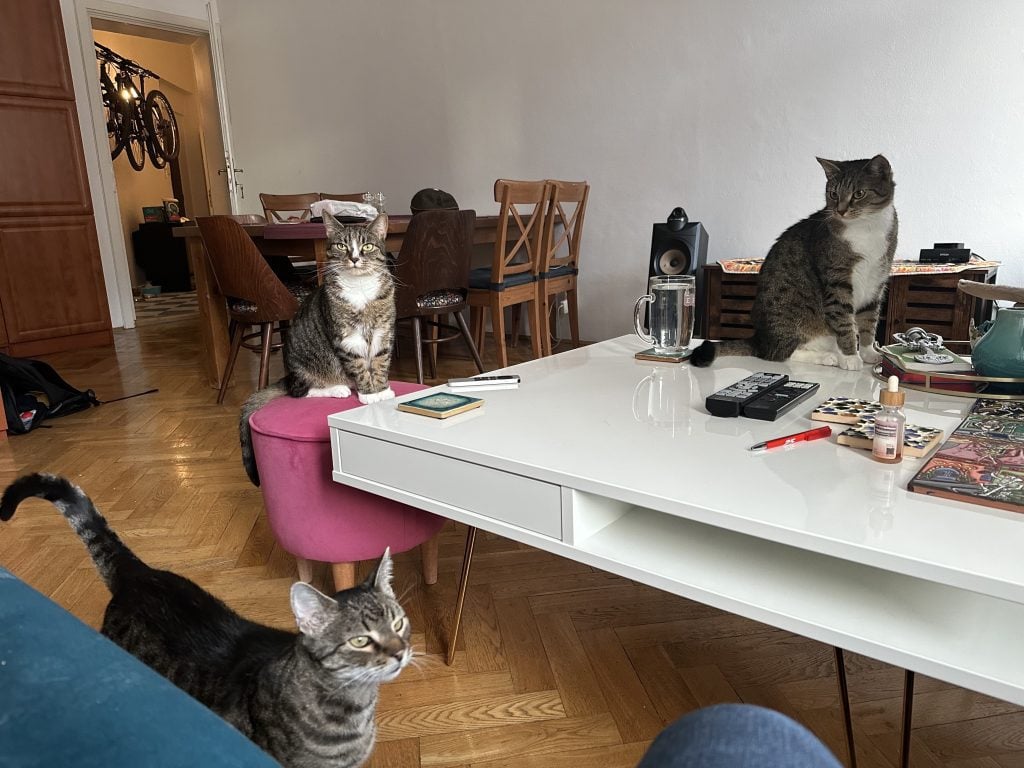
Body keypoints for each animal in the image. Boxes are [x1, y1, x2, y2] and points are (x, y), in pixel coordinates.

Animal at [239, 210, 395, 487]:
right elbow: (359, 365)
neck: (361, 289)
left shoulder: (382, 333)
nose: (354, 258)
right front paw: (368, 393)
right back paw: (338, 388)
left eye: (367, 246)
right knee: (299, 391)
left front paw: (382, 389)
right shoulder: (346, 338)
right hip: (305, 367)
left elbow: (379, 361)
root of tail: (288, 375)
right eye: (342, 246)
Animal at [688, 153, 897, 370]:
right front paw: (850, 357)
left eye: (859, 193)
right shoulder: (837, 282)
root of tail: (759, 339)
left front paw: (868, 353)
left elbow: (869, 321)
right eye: (833, 194)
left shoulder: (877, 281)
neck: (867, 228)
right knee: (780, 353)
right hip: (790, 320)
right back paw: (828, 357)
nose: (840, 211)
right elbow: (844, 321)